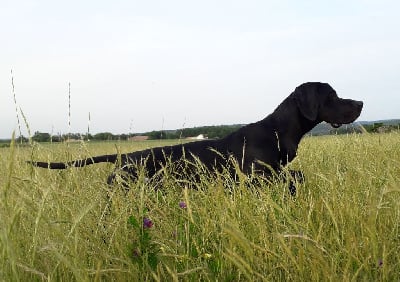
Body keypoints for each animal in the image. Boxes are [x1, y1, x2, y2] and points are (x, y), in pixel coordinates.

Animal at [30, 82, 362, 195]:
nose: (360, 103)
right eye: (332, 95)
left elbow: (297, 176)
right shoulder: (260, 178)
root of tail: (124, 157)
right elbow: (293, 178)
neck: (278, 131)